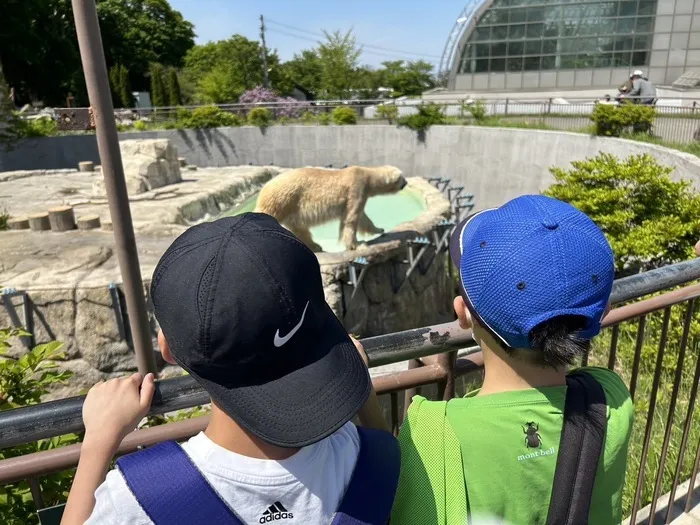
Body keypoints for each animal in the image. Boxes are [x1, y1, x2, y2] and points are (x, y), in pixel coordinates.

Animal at [256, 166, 410, 252]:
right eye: (402, 176)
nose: (407, 182)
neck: (366, 175)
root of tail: (264, 188)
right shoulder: (356, 189)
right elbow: (351, 219)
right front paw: (356, 245)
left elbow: (362, 218)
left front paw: (379, 229)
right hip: (282, 200)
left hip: (291, 207)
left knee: (300, 228)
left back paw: (315, 246)